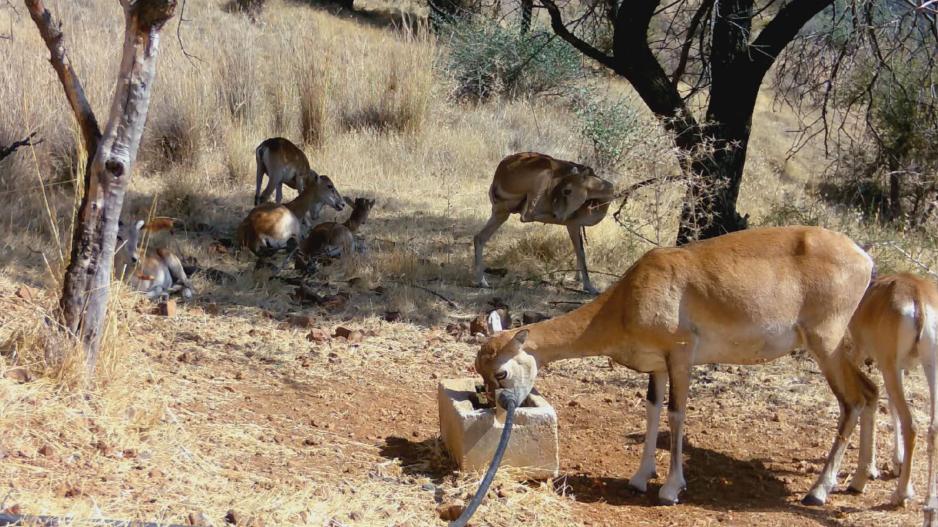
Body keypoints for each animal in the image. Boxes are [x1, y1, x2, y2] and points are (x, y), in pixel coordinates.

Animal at [472, 153, 616, 294]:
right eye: (562, 189)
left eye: (567, 190)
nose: (558, 213)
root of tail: (500, 172)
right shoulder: (573, 225)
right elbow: (581, 253)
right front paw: (590, 287)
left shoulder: (579, 226)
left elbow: (579, 250)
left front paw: (577, 278)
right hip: (541, 178)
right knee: (526, 215)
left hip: (501, 214)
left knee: (479, 237)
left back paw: (482, 282)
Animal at [476, 226, 876, 508]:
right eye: (480, 370)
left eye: (501, 372)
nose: (499, 408)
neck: (634, 292)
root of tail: (864, 259)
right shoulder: (657, 365)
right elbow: (652, 408)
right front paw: (640, 478)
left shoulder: (680, 355)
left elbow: (676, 412)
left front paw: (670, 488)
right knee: (870, 391)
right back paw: (859, 480)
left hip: (825, 344)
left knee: (852, 401)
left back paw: (818, 491)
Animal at [840, 272, 936, 524]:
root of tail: (917, 295)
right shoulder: (899, 367)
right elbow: (891, 408)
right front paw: (897, 462)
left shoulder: (862, 353)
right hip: (929, 366)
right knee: (932, 428)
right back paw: (930, 506)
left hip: (889, 366)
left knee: (911, 425)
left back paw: (901, 494)